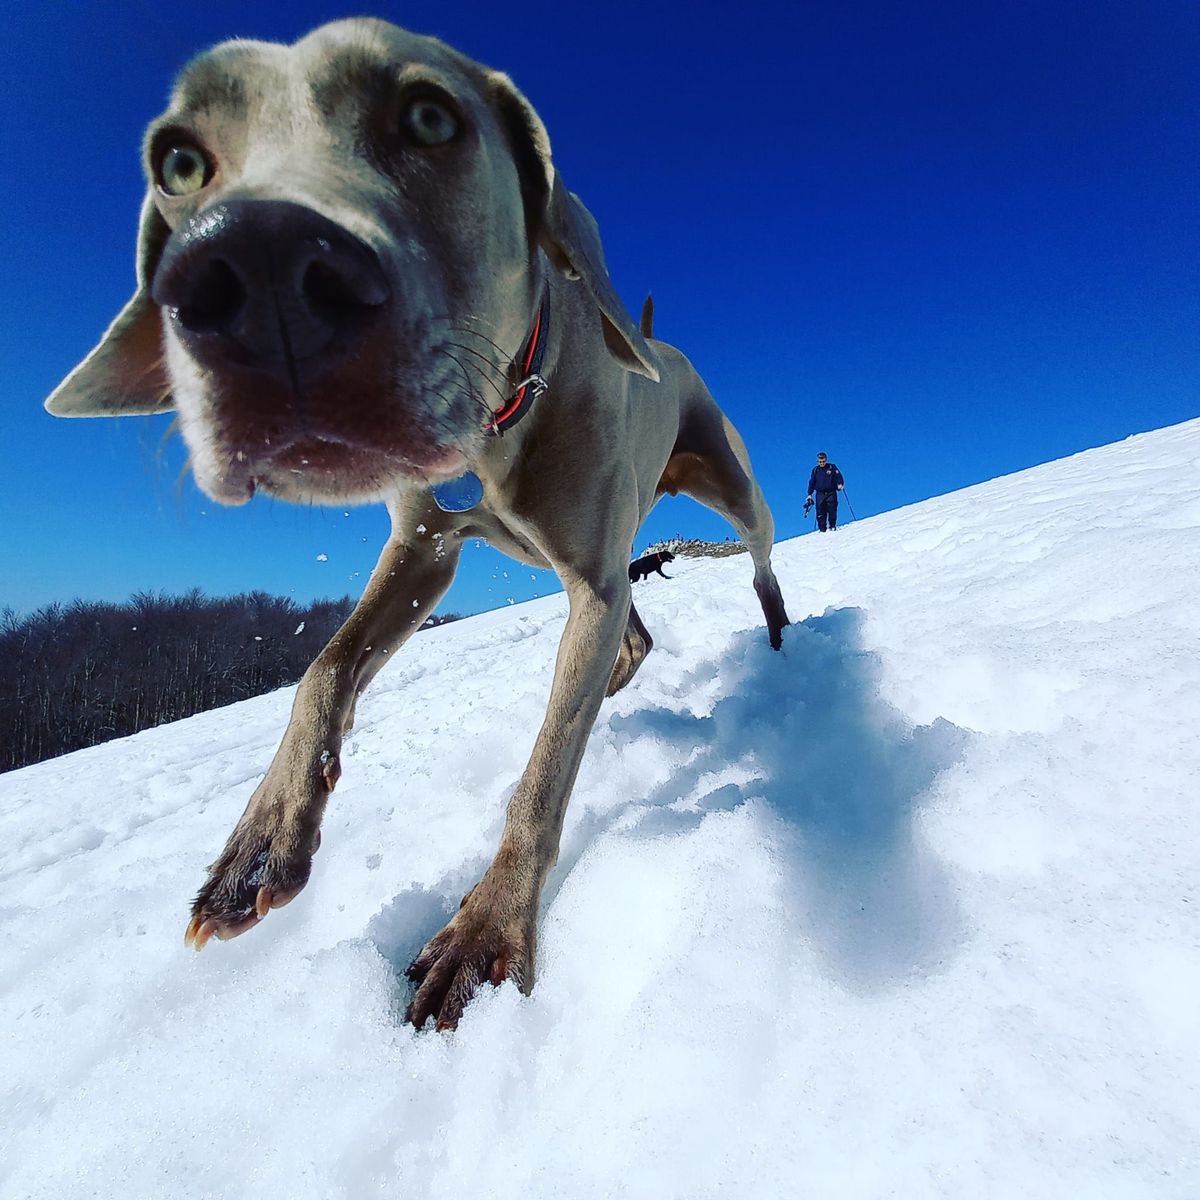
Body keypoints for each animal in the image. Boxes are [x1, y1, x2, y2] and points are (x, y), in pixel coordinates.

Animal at [46, 16, 792, 1032]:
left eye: (430, 117)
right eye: (179, 162)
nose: (258, 272)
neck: (499, 420)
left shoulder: (585, 572)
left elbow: (543, 774)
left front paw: (485, 934)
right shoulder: (426, 549)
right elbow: (323, 670)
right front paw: (261, 843)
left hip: (725, 484)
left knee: (756, 554)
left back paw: (781, 629)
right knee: (630, 636)